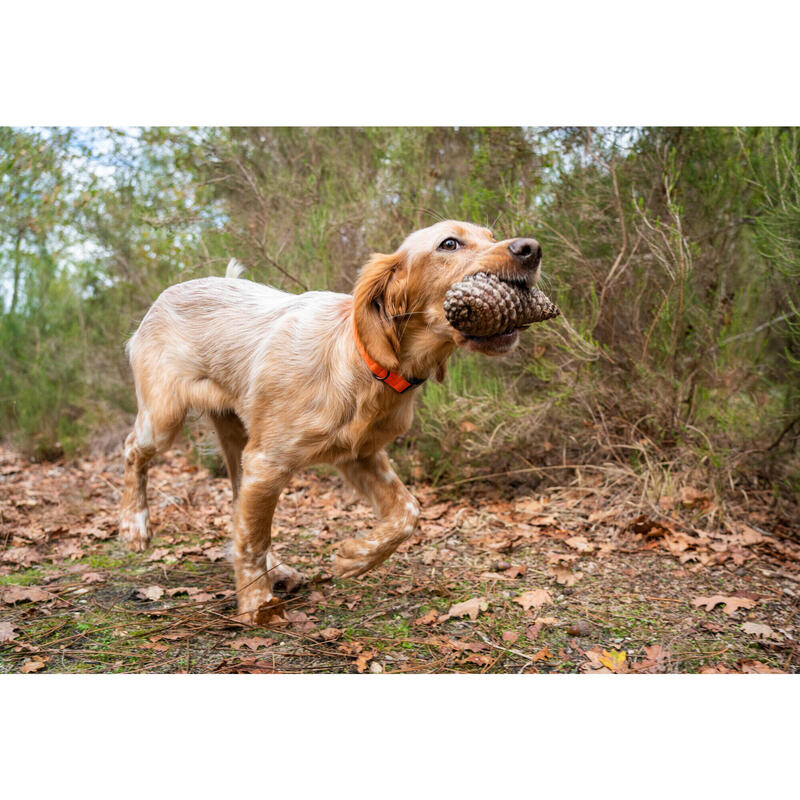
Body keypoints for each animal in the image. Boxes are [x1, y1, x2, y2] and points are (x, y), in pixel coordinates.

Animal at [119, 222, 544, 620]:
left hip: (238, 442)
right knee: (133, 452)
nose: (531, 249)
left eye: (490, 234)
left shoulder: (360, 456)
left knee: (239, 511)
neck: (364, 365)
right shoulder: (268, 463)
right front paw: (257, 605)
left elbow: (407, 512)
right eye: (449, 244)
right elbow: (253, 539)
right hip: (164, 418)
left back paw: (279, 569)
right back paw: (134, 526)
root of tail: (167, 294)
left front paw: (355, 557)